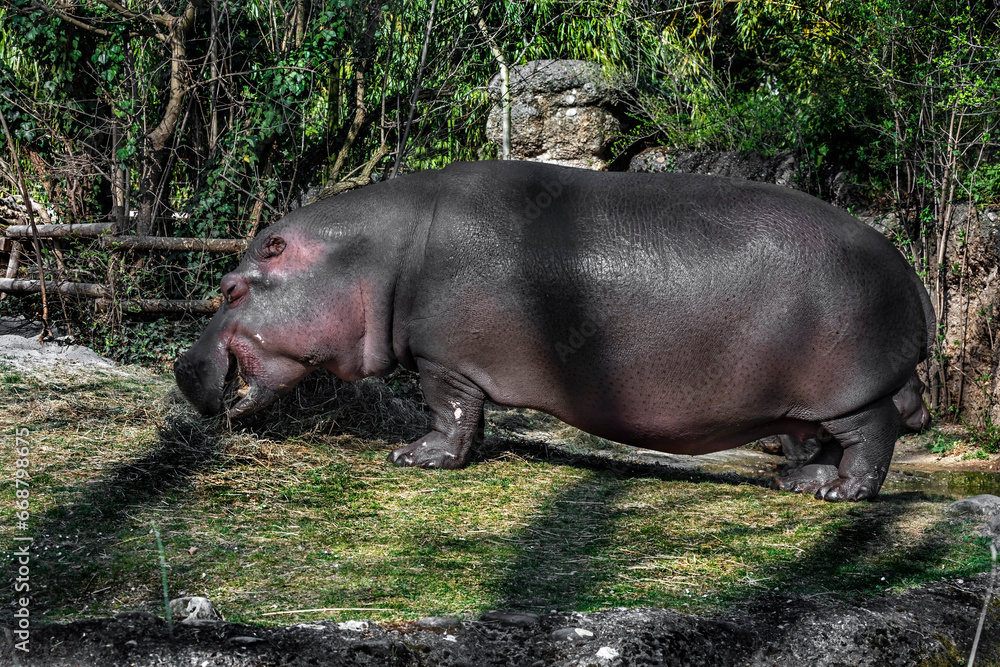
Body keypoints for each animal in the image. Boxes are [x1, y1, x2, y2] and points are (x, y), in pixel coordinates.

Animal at [175, 160, 935, 501]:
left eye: (230, 287)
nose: (182, 368)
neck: (371, 257)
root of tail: (910, 273)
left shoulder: (443, 359)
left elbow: (450, 414)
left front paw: (412, 458)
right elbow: (468, 417)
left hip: (848, 388)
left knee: (871, 436)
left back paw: (840, 494)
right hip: (802, 403)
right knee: (821, 441)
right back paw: (796, 482)